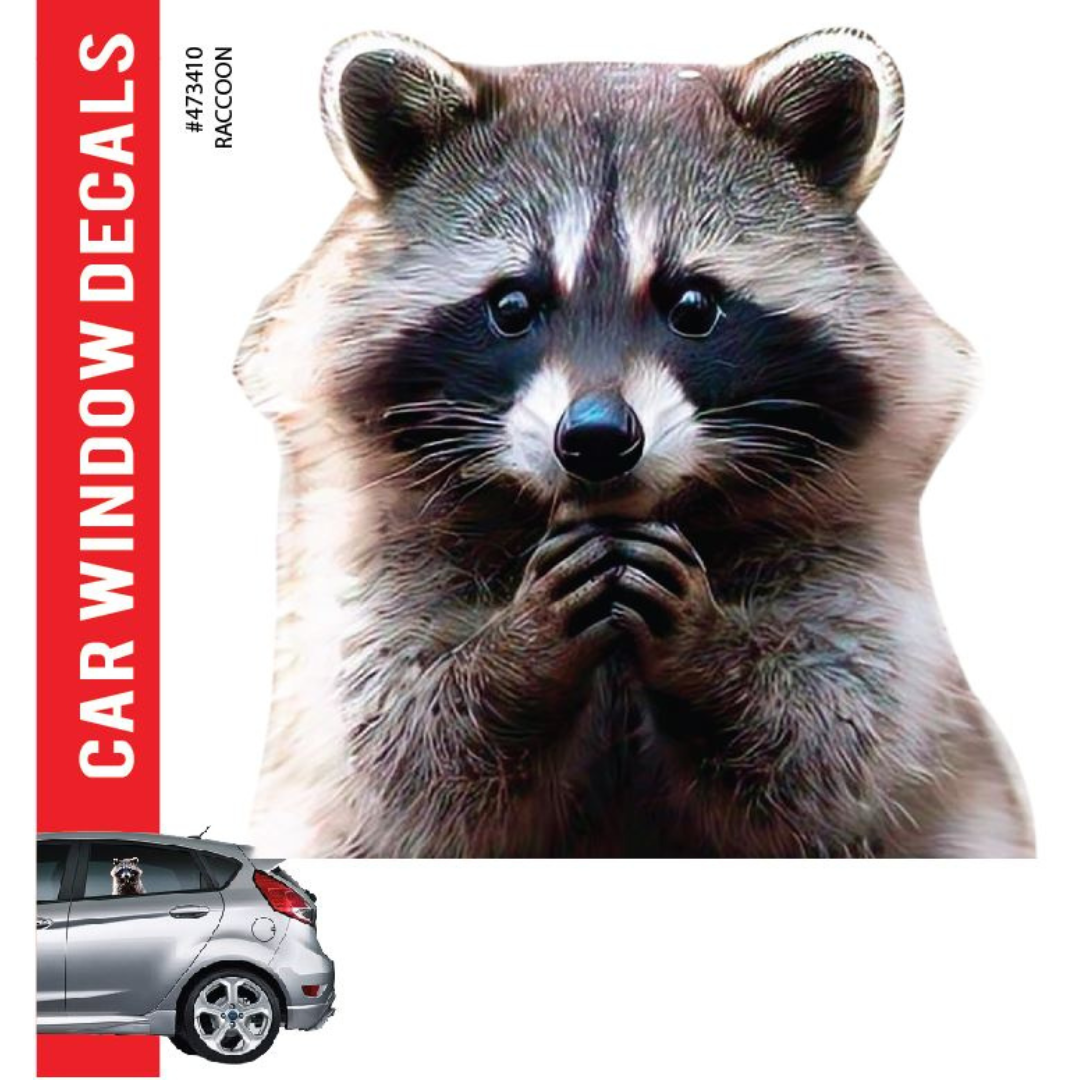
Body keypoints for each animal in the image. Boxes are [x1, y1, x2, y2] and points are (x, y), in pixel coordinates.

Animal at [238, 28, 1034, 857]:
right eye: (513, 306)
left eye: (693, 305)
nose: (595, 438)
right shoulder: (373, 536)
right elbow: (394, 731)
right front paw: (516, 652)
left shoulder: (855, 529)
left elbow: (841, 724)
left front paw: (709, 652)